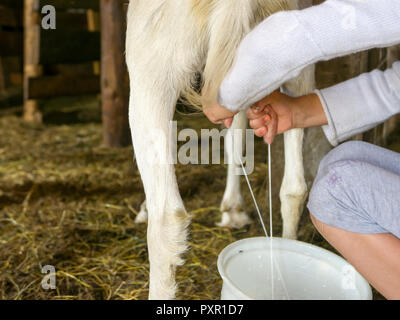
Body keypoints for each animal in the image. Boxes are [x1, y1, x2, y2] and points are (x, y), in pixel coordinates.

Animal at [126, 0, 314, 300]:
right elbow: (235, 138)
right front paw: (233, 210)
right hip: (296, 62)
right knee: (294, 186)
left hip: (151, 71)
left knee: (167, 217)